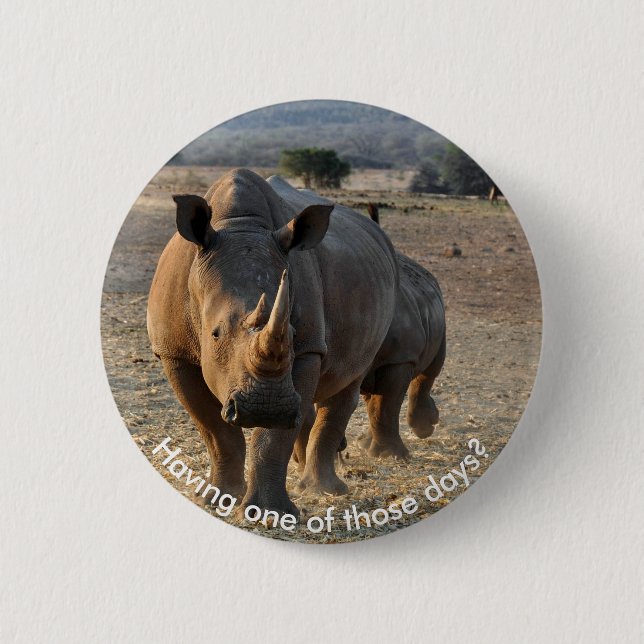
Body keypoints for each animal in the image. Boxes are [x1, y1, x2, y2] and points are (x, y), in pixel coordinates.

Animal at [147, 169, 398, 516]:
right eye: (215, 334)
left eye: (291, 335)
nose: (267, 407)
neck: (240, 225)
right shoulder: (174, 352)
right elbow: (216, 431)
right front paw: (216, 498)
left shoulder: (307, 349)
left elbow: (272, 439)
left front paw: (269, 513)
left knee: (347, 384)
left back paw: (324, 489)